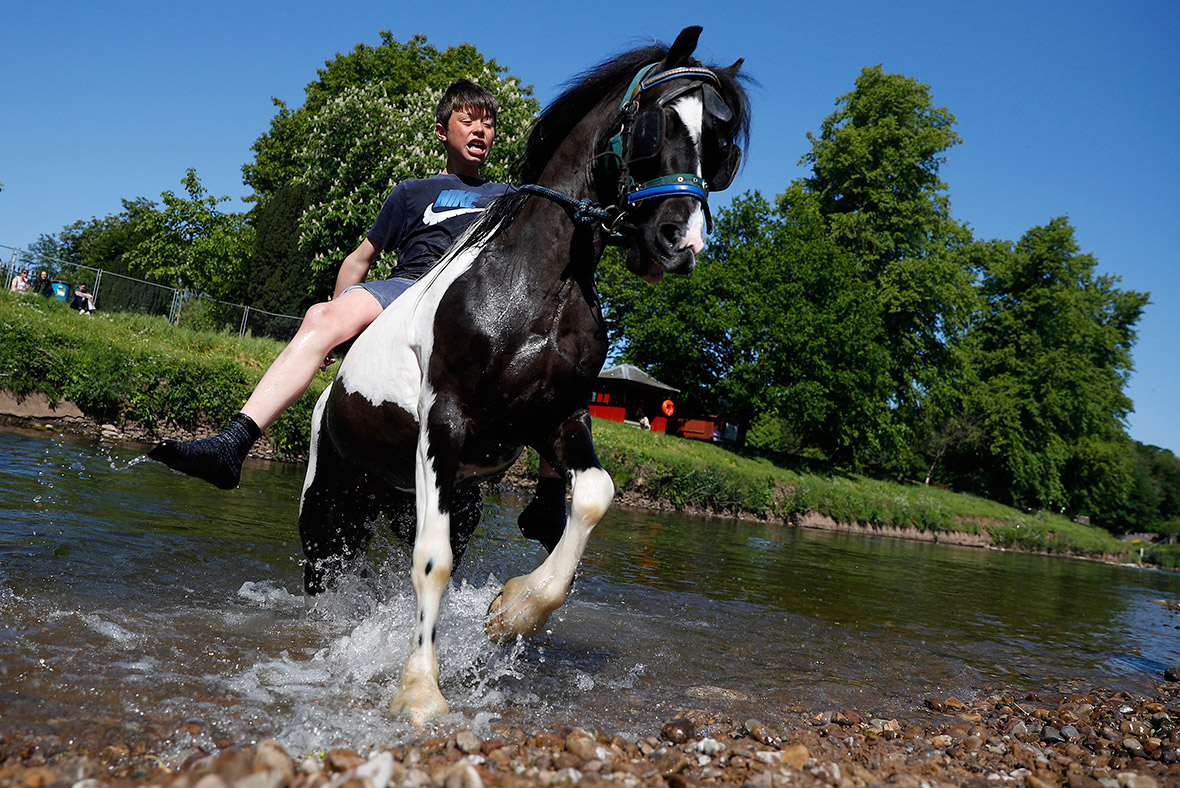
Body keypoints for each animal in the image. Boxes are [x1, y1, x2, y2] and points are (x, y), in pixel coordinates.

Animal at [299, 27, 750, 721]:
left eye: (722, 144)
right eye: (657, 122)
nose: (680, 243)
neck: (540, 285)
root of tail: (328, 399)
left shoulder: (556, 418)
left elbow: (594, 496)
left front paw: (512, 611)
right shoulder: (446, 420)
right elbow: (433, 561)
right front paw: (420, 692)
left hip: (416, 501)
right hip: (326, 513)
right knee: (327, 576)